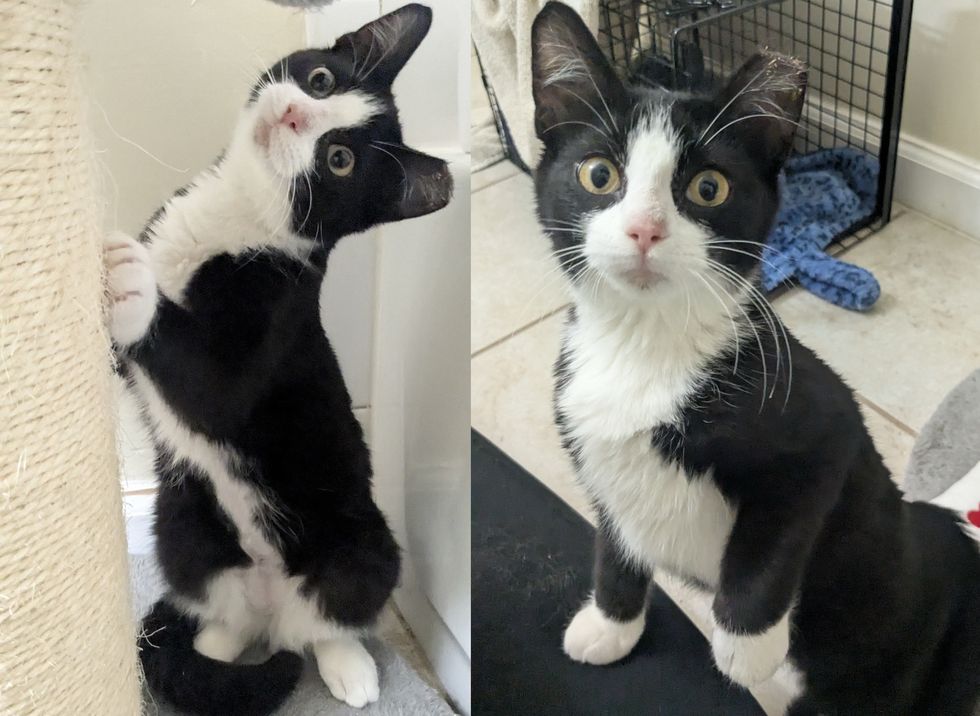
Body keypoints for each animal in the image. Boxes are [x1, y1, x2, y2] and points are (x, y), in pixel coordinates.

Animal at [104, 7, 452, 716]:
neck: (234, 214)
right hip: (184, 526)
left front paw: (130, 279)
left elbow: (201, 380)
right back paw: (206, 655)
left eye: (339, 161)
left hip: (360, 543)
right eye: (320, 80)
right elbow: (130, 363)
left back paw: (350, 669)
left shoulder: (266, 330)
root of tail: (272, 606)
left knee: (327, 620)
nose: (293, 115)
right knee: (226, 615)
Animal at [528, 2, 980, 712]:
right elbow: (615, 539)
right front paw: (610, 624)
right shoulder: (595, 445)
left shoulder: (825, 429)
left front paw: (746, 646)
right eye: (598, 174)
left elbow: (773, 537)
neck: (647, 344)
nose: (644, 230)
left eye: (708, 187)